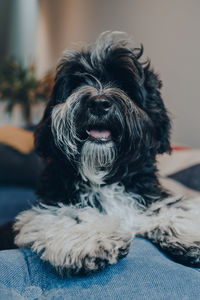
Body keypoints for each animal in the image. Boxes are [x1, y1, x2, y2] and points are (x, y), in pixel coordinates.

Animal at [13, 32, 200, 274]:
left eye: (124, 84)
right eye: (78, 82)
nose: (99, 103)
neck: (106, 177)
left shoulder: (149, 197)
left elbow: (173, 209)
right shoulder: (49, 207)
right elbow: (73, 215)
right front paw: (91, 241)